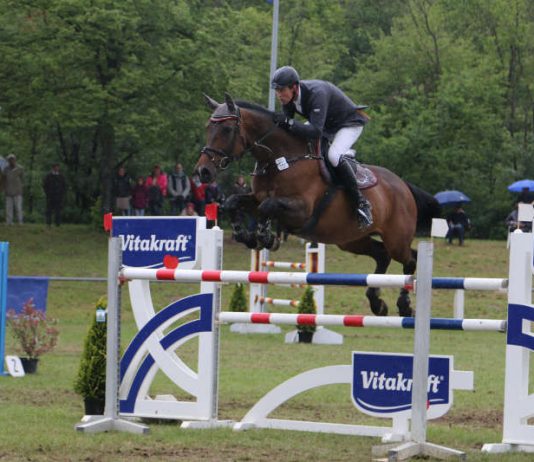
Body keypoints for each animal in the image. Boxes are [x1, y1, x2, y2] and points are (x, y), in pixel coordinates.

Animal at [195, 94, 442, 318]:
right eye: (207, 127)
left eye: (227, 130)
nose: (203, 172)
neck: (280, 159)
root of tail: (403, 185)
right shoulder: (255, 199)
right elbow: (234, 202)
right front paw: (244, 235)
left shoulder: (301, 211)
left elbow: (267, 206)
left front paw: (265, 237)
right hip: (352, 240)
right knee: (382, 256)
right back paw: (377, 303)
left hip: (395, 238)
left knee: (410, 259)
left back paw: (404, 305)